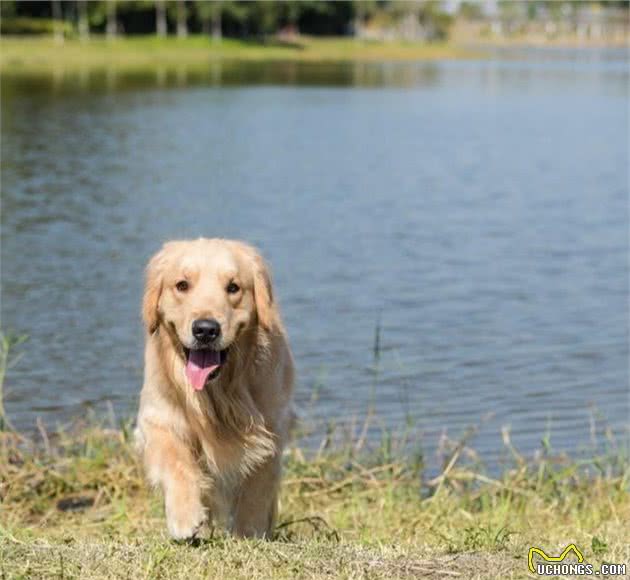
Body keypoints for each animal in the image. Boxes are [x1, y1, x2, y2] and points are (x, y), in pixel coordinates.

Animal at [135, 238, 296, 540]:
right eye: (182, 285)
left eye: (233, 287)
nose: (206, 330)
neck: (218, 392)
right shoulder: (157, 416)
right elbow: (175, 461)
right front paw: (185, 516)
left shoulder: (273, 425)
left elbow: (258, 482)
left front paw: (249, 530)